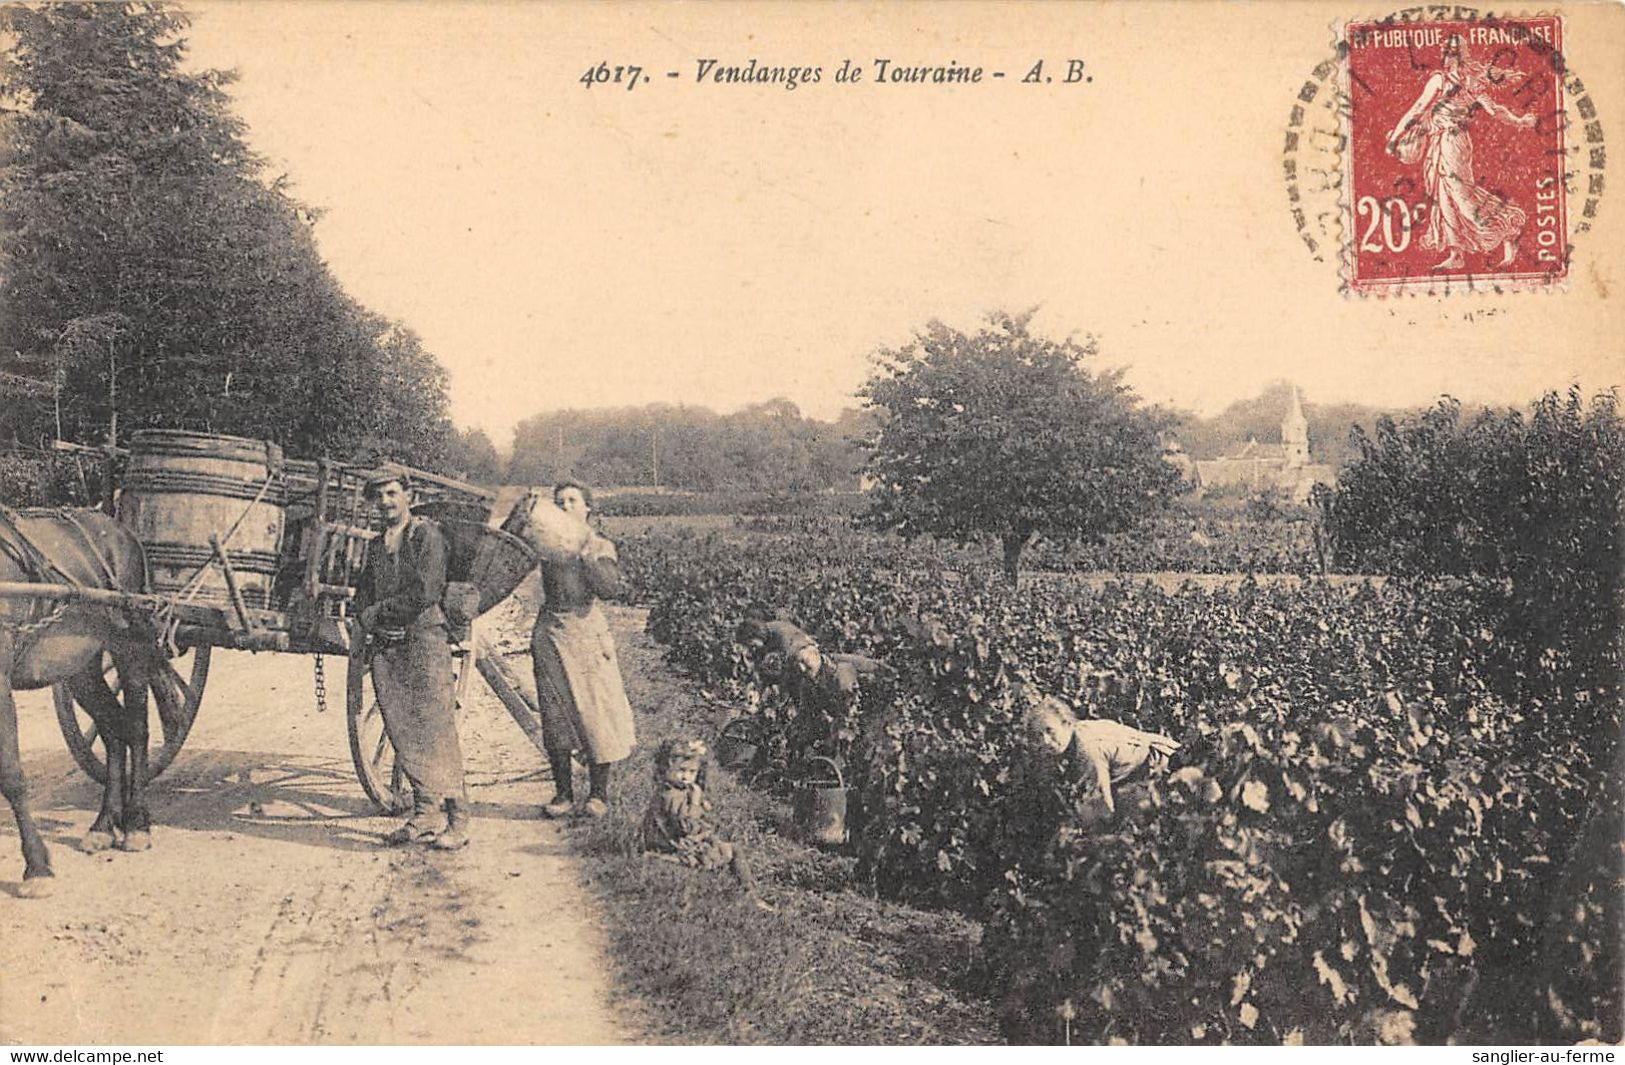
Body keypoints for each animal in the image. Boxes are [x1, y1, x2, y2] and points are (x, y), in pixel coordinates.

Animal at [0, 504, 164, 897]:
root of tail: (124, 531)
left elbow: (10, 773)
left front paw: (37, 868)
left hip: (129, 649)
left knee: (136, 729)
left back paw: (136, 825)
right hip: (81, 668)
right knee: (113, 732)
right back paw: (103, 826)